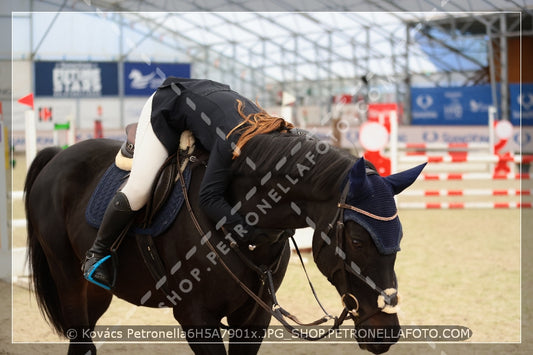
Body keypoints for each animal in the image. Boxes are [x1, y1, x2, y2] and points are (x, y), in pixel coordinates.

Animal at [23, 131, 424, 355]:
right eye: (356, 239)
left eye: (400, 237)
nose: (386, 332)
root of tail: (58, 155)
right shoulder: (197, 318)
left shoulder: (254, 318)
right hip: (68, 280)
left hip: (98, 293)